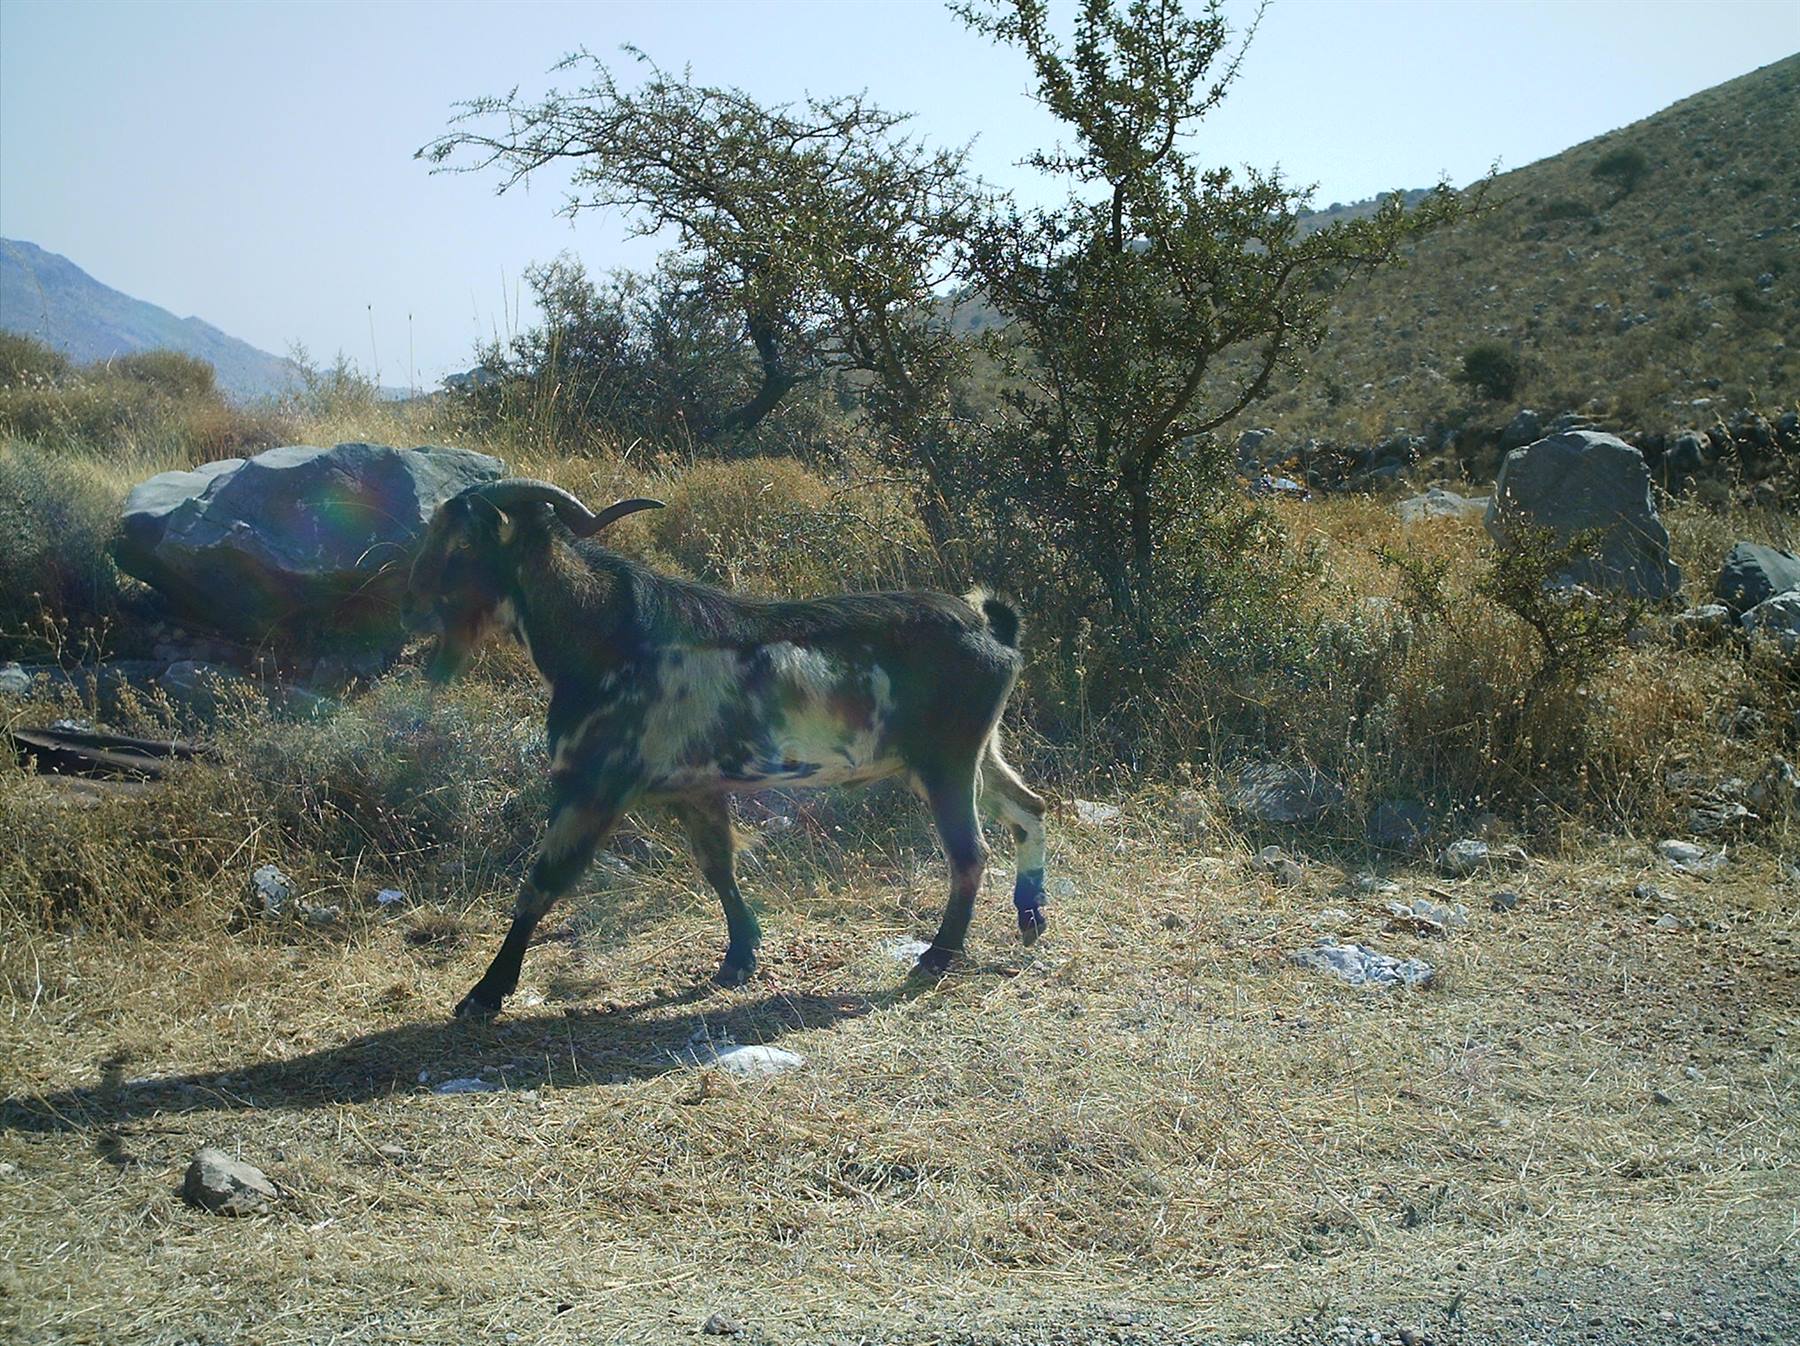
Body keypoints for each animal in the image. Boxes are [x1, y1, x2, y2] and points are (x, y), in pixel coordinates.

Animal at [401, 479, 1051, 1020]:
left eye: (463, 543)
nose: (407, 598)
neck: (606, 636)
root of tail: (991, 629)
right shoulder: (696, 788)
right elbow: (718, 866)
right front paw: (740, 957)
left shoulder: (596, 784)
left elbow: (541, 883)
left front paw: (485, 994)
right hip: (975, 751)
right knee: (1029, 806)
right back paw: (1031, 915)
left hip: (946, 760)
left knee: (969, 853)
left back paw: (938, 957)